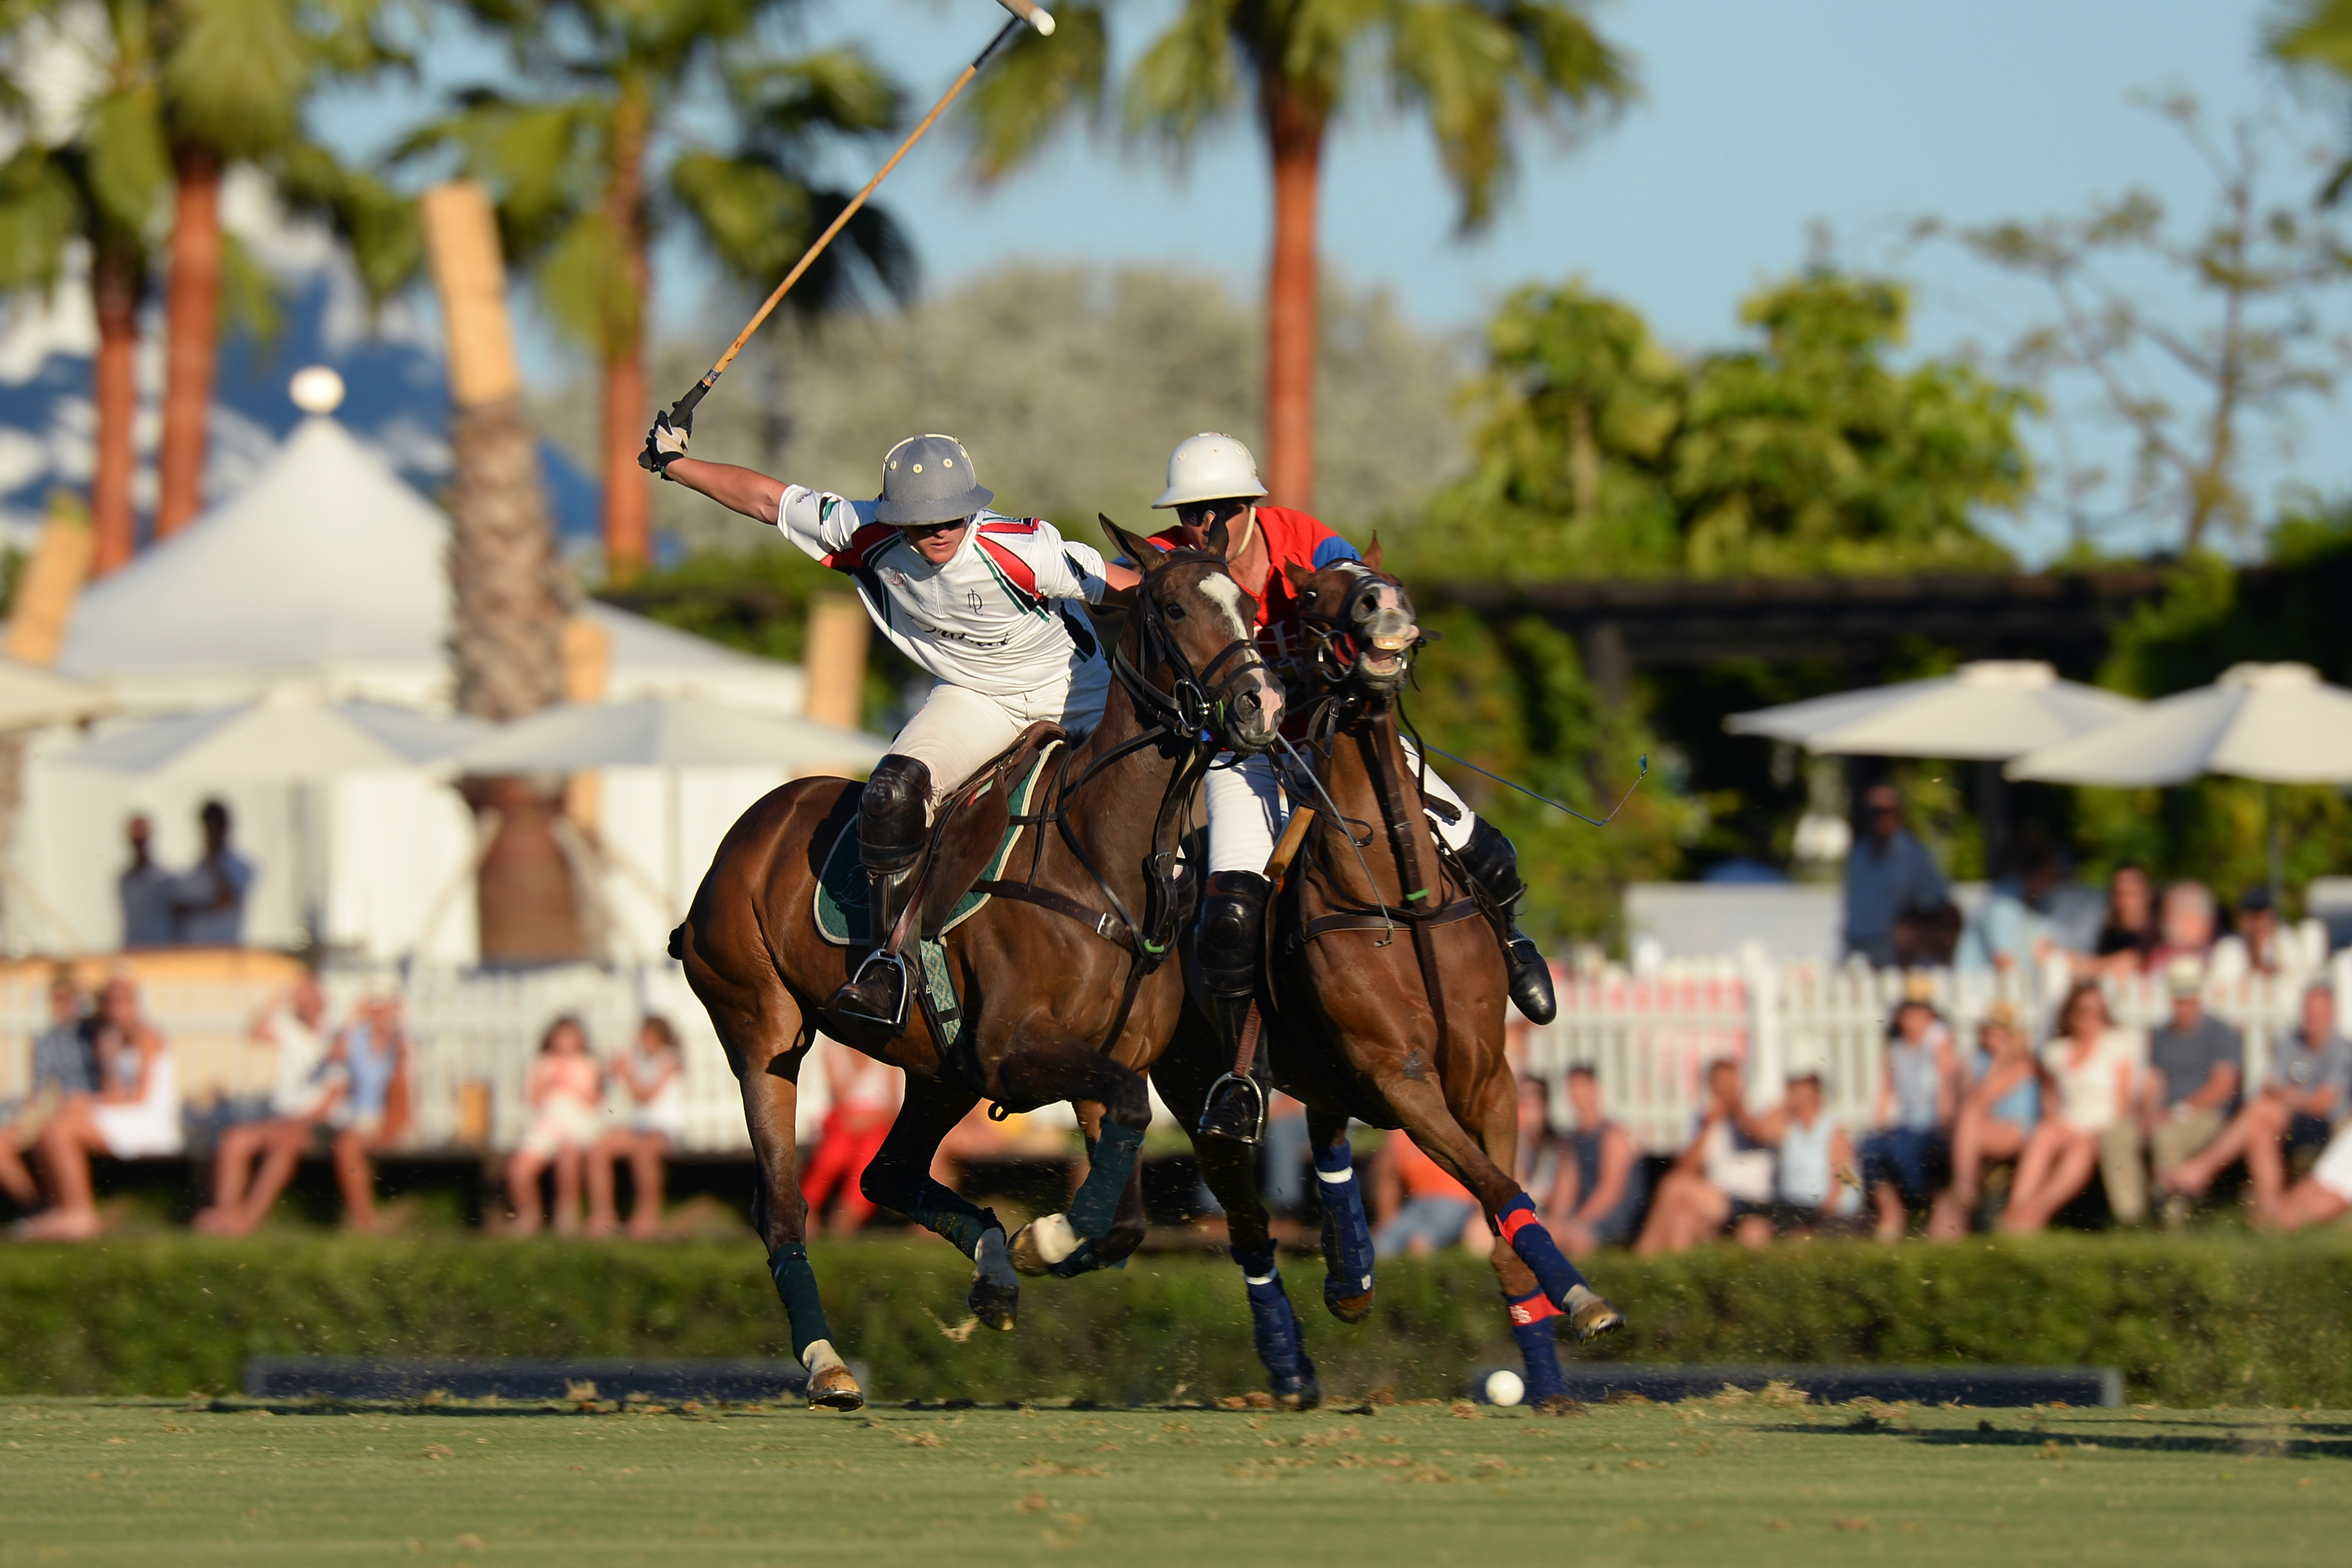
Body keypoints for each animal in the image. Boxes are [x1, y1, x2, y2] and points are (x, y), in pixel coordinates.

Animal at [663, 524, 1289, 1410]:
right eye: (1172, 606)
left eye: (1248, 602)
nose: (1262, 705)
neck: (1101, 856)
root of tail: (744, 831)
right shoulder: (1012, 1051)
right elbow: (1126, 1136)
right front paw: (1044, 1237)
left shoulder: (1104, 1061)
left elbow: (1126, 1208)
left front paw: (1039, 1243)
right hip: (764, 1033)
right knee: (782, 1205)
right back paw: (828, 1365)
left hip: (938, 1069)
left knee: (887, 1174)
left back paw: (992, 1269)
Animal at [1152, 552, 1618, 1410]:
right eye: (1310, 595)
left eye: (1369, 567)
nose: (1384, 606)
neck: (1403, 896)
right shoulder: (1402, 1078)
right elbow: (1500, 1189)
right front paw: (1585, 1299)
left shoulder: (1487, 1076)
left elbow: (1504, 1205)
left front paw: (1544, 1369)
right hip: (1198, 1085)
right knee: (1249, 1221)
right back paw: (1291, 1365)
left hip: (1321, 1068)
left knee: (1328, 1138)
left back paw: (1352, 1278)